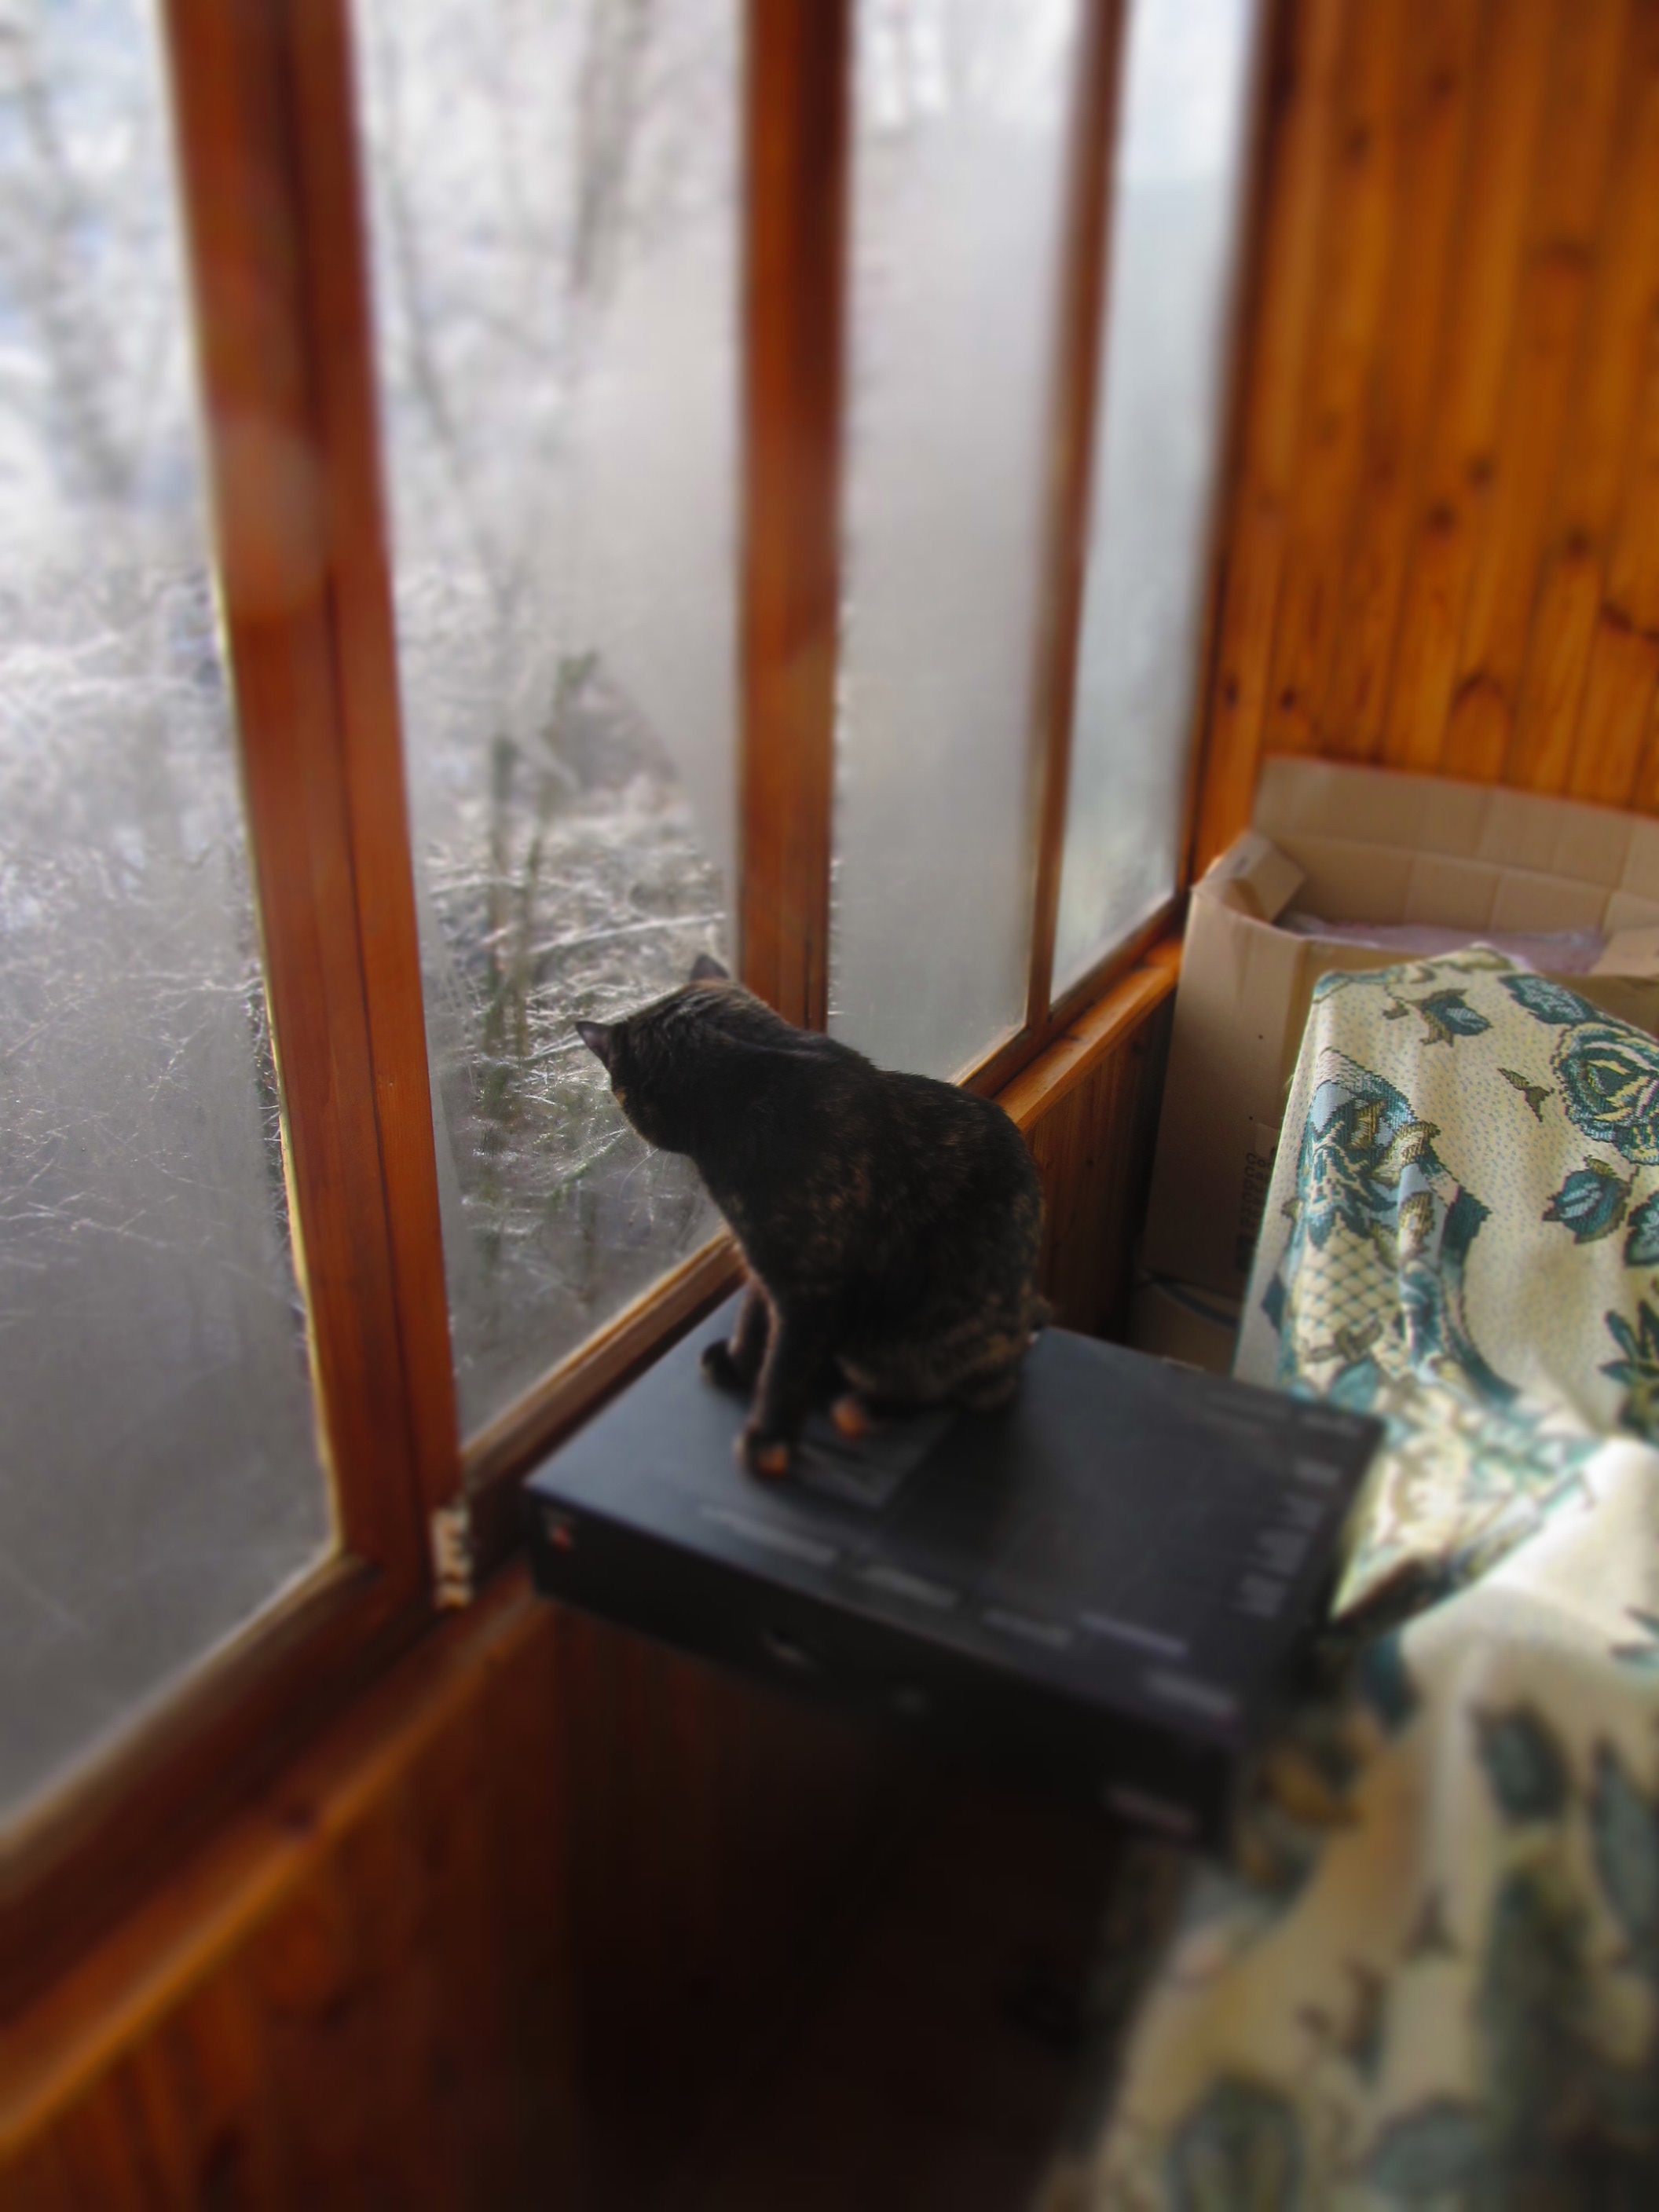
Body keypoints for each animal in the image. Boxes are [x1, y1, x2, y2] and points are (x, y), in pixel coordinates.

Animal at [576, 954, 1047, 1478]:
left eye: (619, 1091)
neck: (750, 1087)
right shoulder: (766, 1265)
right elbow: (754, 1315)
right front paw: (740, 1365)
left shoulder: (810, 1288)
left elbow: (785, 1366)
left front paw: (767, 1441)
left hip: (933, 1340)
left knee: (966, 1394)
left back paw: (863, 1408)